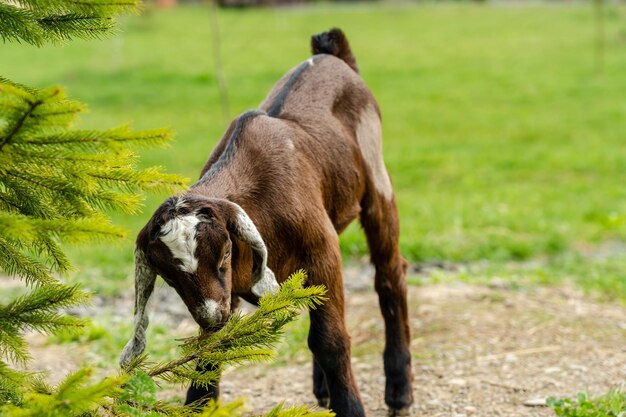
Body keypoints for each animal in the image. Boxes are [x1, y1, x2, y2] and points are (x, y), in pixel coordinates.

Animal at [120, 29, 414, 416]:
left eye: (225, 253)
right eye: (168, 276)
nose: (212, 316)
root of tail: (331, 53)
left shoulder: (322, 252)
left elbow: (329, 339)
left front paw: (350, 407)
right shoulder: (229, 290)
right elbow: (213, 346)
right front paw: (199, 403)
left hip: (378, 183)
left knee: (389, 275)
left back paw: (399, 391)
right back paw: (323, 390)